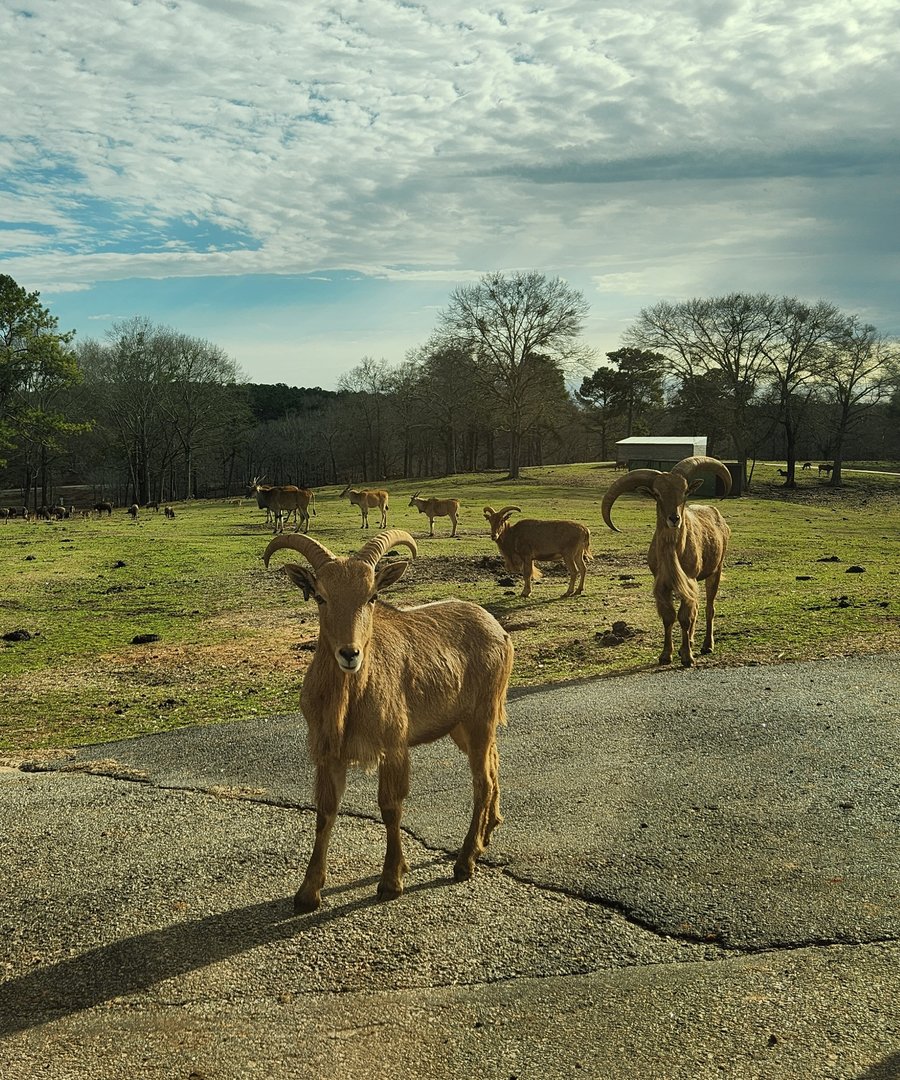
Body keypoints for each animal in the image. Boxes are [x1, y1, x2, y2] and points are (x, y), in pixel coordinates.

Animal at [263, 528, 514, 913]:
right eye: (320, 596)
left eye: (373, 596)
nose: (349, 653)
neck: (349, 699)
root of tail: (499, 630)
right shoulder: (328, 753)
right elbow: (325, 812)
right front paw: (307, 892)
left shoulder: (393, 746)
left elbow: (390, 807)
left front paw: (391, 880)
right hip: (461, 726)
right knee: (494, 762)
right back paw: (487, 833)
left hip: (480, 718)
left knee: (482, 781)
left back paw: (465, 860)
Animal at [601, 455, 732, 668]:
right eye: (657, 494)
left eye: (685, 491)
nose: (674, 519)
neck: (673, 553)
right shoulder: (663, 584)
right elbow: (669, 617)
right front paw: (666, 655)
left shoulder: (689, 580)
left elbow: (685, 617)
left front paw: (687, 657)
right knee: (696, 609)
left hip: (715, 571)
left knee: (708, 608)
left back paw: (706, 645)